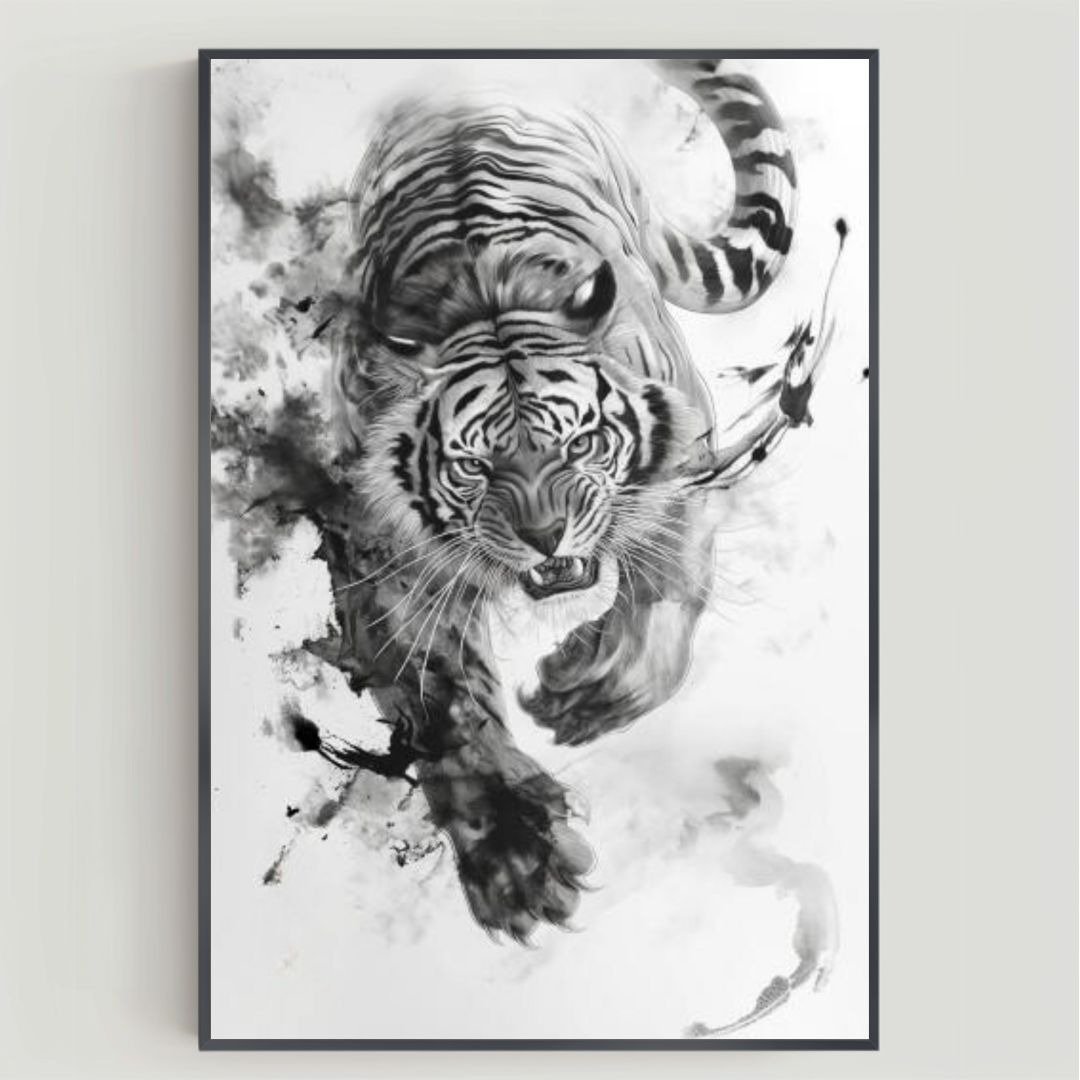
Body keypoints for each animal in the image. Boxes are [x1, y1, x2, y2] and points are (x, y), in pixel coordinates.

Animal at [262, 58, 843, 942]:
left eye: (578, 442)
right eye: (474, 465)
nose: (546, 536)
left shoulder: (683, 472)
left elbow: (665, 605)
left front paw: (587, 693)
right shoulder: (385, 556)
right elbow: (442, 704)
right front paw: (516, 859)